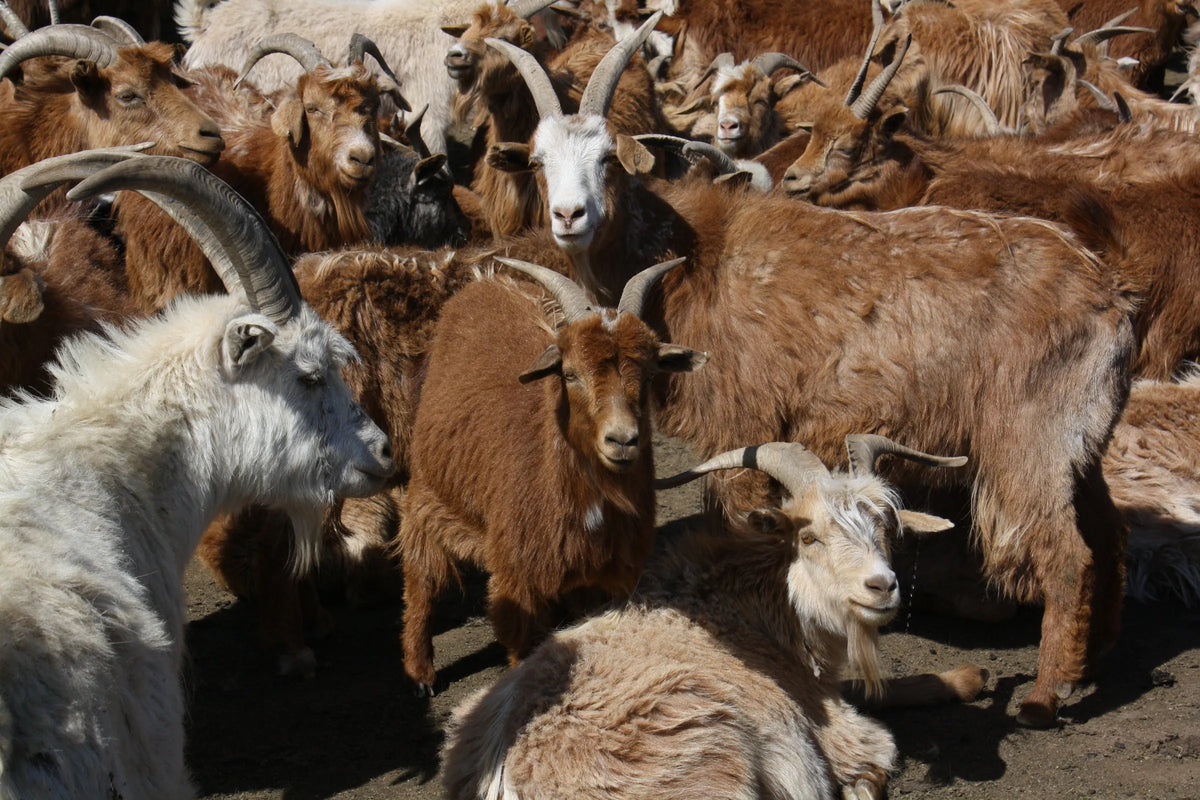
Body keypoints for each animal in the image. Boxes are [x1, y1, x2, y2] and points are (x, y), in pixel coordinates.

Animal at [399, 256, 706, 694]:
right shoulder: (518, 579)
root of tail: (484, 279)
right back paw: (420, 671)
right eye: (570, 374)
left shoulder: (609, 579)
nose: (622, 440)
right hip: (427, 492)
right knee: (421, 576)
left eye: (649, 375)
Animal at [442, 436, 968, 800]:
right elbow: (874, 754)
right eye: (808, 537)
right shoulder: (834, 730)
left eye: (885, 527)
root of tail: (507, 775)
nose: (882, 586)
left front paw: (968, 678)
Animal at [482, 30, 1136, 728]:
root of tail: (1112, 297)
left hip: (1028, 441)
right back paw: (1095, 655)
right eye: (539, 160)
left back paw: (1045, 695)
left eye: (609, 159)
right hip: (1079, 438)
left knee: (1067, 556)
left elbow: (745, 523)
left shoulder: (744, 422)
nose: (569, 215)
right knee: (1107, 533)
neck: (695, 258)